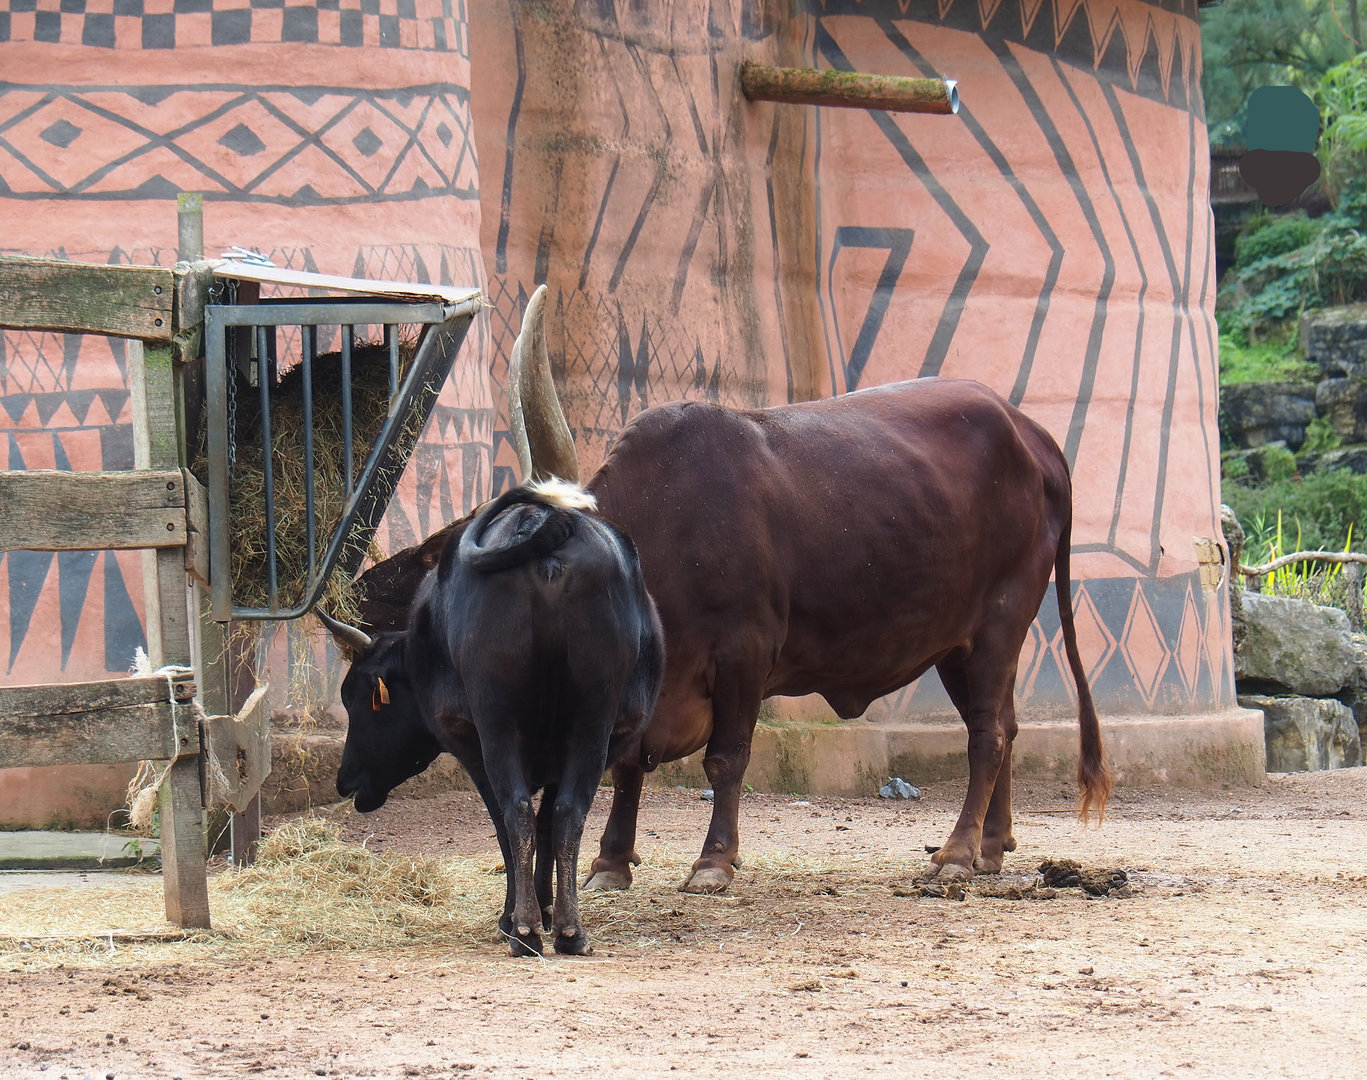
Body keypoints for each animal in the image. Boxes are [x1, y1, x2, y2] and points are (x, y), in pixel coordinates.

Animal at [325, 478, 664, 956]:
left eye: (356, 698)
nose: (345, 780)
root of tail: (536, 522)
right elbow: (547, 823)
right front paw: (544, 906)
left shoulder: (469, 744)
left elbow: (509, 827)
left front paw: (516, 915)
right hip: (592, 720)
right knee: (568, 812)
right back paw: (570, 930)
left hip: (496, 722)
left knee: (516, 811)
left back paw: (522, 931)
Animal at [326, 285, 1111, 896]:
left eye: (452, 550)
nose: (360, 591)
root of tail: (1032, 433)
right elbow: (627, 763)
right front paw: (611, 862)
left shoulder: (744, 655)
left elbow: (725, 758)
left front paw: (713, 861)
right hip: (959, 641)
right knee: (1003, 724)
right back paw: (992, 847)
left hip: (1001, 620)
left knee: (988, 733)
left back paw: (955, 852)